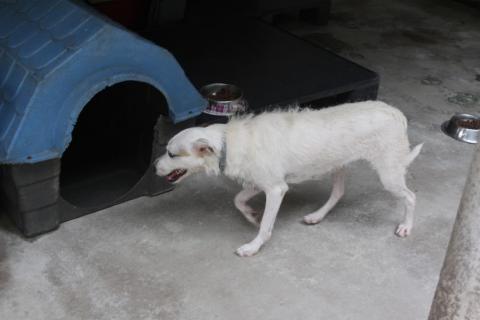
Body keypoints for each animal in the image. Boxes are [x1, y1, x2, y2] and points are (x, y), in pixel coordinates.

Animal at [156, 101, 422, 256]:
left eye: (171, 154)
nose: (155, 166)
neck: (228, 142)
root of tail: (395, 112)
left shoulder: (276, 189)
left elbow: (266, 225)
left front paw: (253, 246)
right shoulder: (260, 182)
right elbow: (238, 199)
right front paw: (251, 215)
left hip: (389, 174)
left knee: (411, 197)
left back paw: (406, 226)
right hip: (337, 165)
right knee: (338, 193)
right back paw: (317, 216)